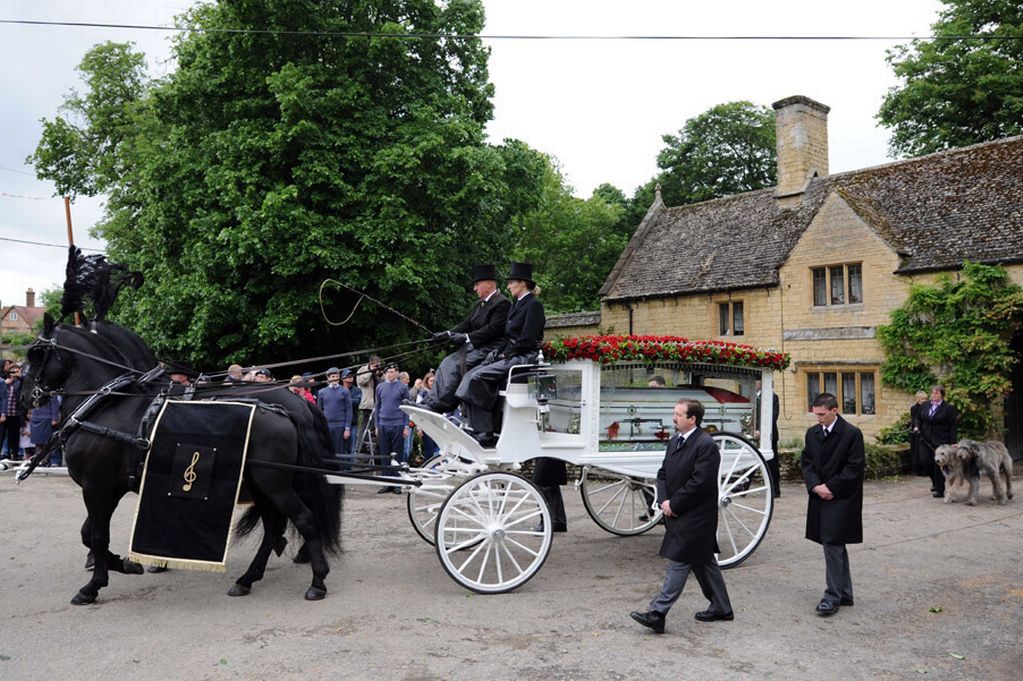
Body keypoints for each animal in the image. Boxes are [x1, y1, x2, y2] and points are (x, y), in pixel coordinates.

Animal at [21, 314, 343, 601]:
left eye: (36, 353)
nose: (25, 397)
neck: (107, 404)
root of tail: (287, 410)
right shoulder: (110, 487)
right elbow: (89, 533)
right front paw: (125, 563)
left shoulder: (96, 486)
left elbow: (97, 536)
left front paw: (94, 585)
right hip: (263, 486)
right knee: (275, 527)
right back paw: (248, 578)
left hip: (274, 484)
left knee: (304, 519)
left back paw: (317, 581)